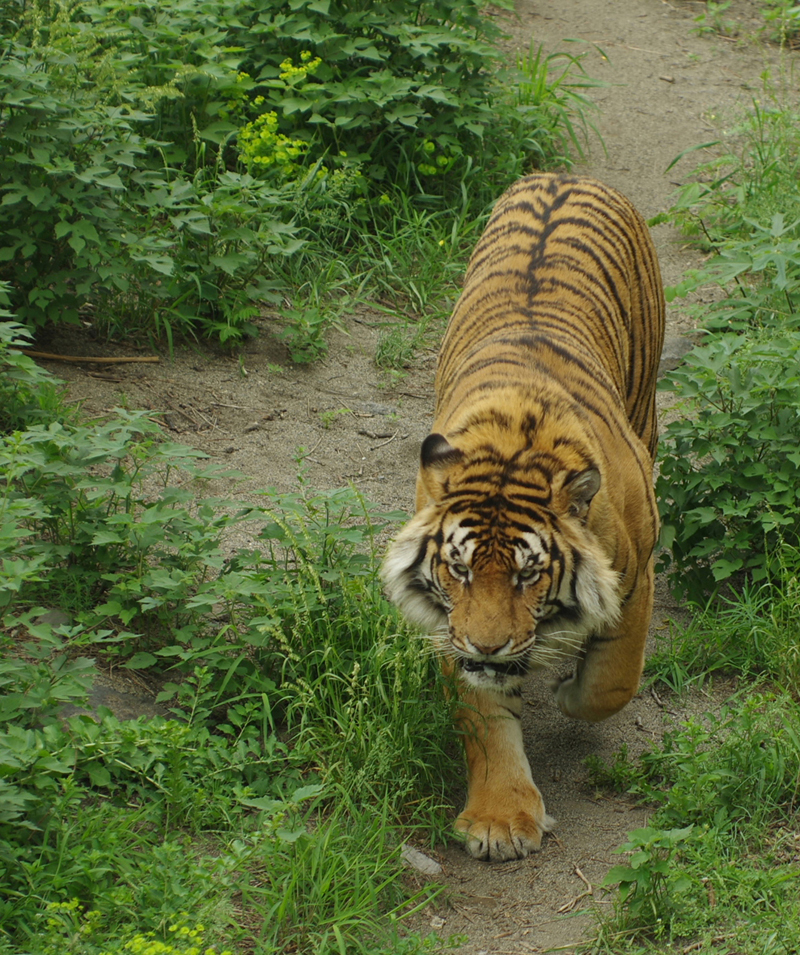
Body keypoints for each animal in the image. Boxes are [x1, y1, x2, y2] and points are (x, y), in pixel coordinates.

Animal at [380, 174, 664, 868]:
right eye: (458, 570)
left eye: (528, 576)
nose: (488, 646)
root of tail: (567, 175)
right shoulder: (450, 625)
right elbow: (485, 719)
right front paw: (501, 820)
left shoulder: (635, 578)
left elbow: (613, 680)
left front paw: (568, 692)